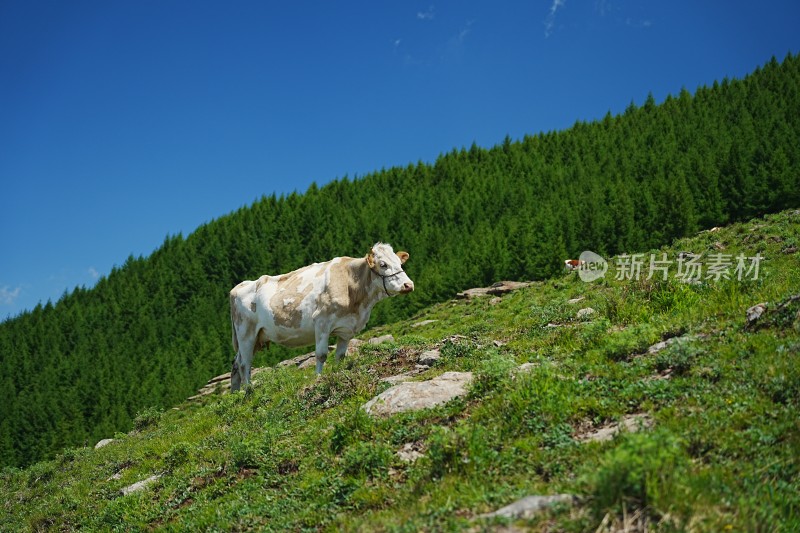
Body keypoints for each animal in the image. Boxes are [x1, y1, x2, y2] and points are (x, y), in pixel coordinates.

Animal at [225, 243, 412, 388]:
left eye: (399, 263)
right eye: (383, 264)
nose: (408, 285)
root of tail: (238, 287)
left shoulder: (346, 329)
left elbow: (340, 356)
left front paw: (337, 373)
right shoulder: (322, 322)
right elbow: (321, 354)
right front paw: (318, 378)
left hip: (257, 336)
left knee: (236, 364)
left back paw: (237, 395)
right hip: (245, 333)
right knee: (245, 364)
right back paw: (249, 391)